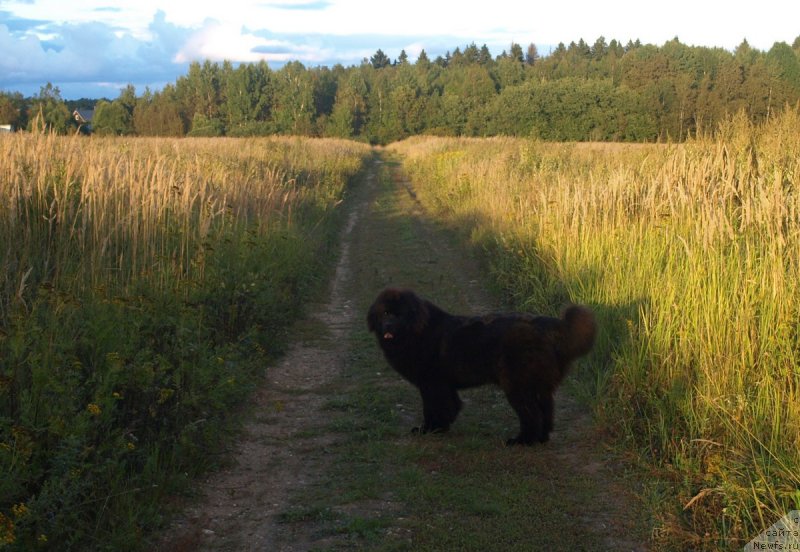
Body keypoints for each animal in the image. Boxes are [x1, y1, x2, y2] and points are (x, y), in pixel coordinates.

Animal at [368, 288, 592, 444]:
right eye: (384, 313)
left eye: (399, 315)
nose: (388, 325)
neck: (417, 331)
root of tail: (550, 326)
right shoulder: (443, 384)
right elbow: (450, 405)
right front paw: (441, 426)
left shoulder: (432, 383)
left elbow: (432, 408)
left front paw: (430, 429)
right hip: (537, 385)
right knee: (546, 411)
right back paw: (541, 438)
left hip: (518, 385)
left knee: (532, 414)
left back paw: (523, 441)